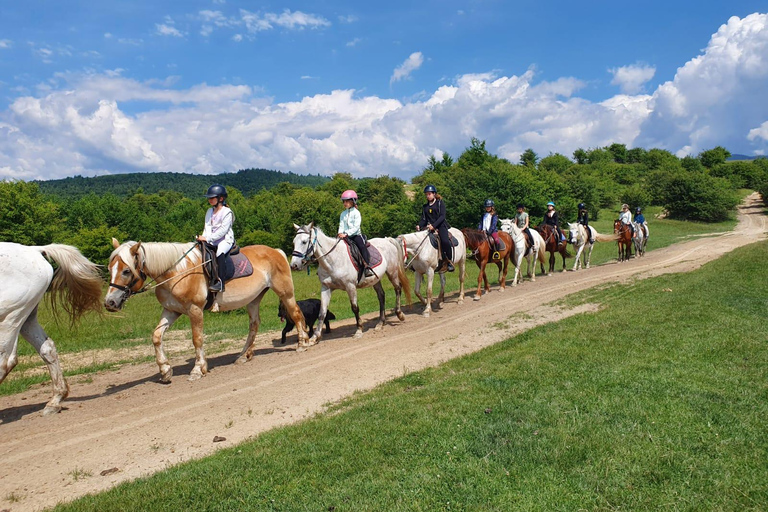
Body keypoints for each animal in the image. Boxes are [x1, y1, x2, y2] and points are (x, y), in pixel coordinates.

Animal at [0, 242, 103, 414]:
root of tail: (33, 250)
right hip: (26, 319)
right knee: (47, 349)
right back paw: (55, 401)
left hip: (9, 317)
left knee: (5, 360)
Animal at [103, 238, 310, 382]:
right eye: (109, 269)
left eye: (126, 271)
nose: (110, 302)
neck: (176, 272)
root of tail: (276, 251)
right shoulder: (171, 311)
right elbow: (156, 336)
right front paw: (165, 370)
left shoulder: (195, 310)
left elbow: (197, 339)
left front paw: (198, 369)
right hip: (253, 299)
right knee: (254, 325)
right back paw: (244, 355)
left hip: (285, 293)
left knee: (296, 313)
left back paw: (302, 343)